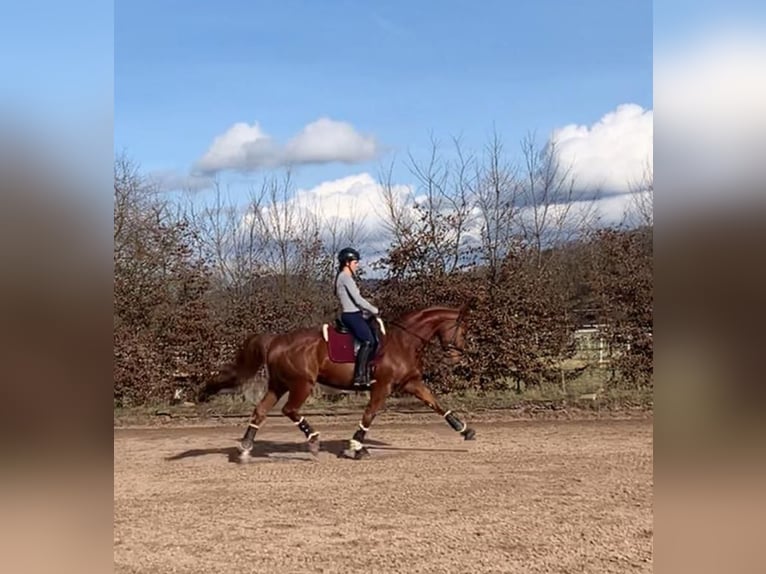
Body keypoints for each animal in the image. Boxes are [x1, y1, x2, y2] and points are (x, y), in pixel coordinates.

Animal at [200, 304, 474, 462]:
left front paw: (465, 430)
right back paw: (313, 440)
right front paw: (356, 447)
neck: (403, 341)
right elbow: (369, 415)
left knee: (260, 411)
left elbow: (435, 404)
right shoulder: (382, 387)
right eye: (462, 330)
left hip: (280, 384)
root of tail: (276, 340)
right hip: (302, 384)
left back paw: (245, 449)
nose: (457, 357)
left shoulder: (411, 383)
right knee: (289, 409)